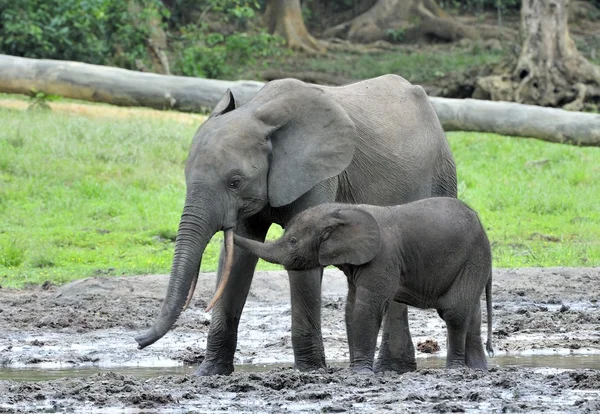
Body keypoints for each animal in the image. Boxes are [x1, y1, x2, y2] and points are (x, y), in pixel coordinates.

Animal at [135, 73, 454, 376]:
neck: (260, 113)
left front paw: (311, 371)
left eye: (235, 182)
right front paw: (209, 373)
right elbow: (237, 260)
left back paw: (391, 369)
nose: (138, 341)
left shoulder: (320, 175)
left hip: (442, 175)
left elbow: (302, 258)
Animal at [234, 196, 492, 372]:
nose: (228, 229)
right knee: (472, 314)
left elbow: (367, 308)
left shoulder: (383, 256)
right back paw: (478, 369)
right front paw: (355, 370)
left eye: (294, 241)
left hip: (473, 258)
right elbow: (351, 308)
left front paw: (359, 372)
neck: (341, 209)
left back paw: (455, 370)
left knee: (454, 312)